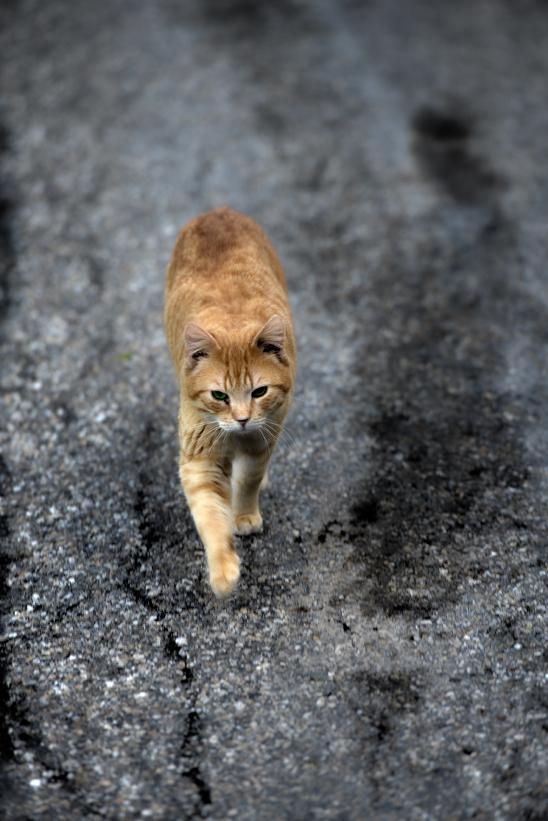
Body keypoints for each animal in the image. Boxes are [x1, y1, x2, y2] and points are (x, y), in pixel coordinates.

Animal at [165, 207, 298, 596]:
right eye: (219, 396)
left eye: (259, 392)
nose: (241, 418)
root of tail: (218, 210)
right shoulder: (200, 460)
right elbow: (210, 516)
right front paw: (223, 570)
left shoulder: (261, 441)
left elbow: (248, 481)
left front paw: (244, 514)